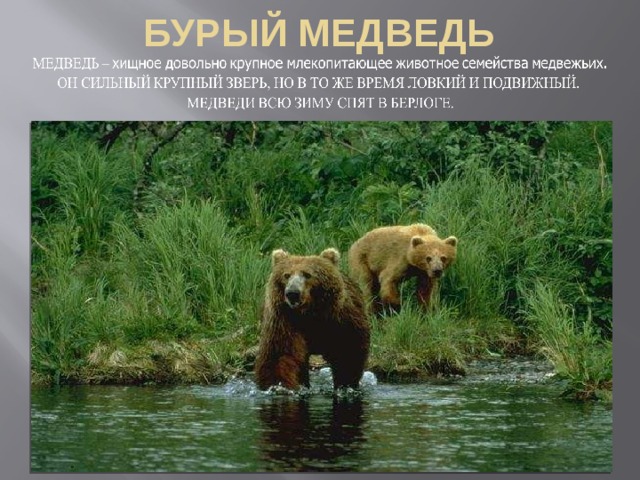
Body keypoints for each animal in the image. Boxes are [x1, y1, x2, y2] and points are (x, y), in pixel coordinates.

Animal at [254, 247, 370, 391]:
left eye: (307, 274)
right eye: (286, 275)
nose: (292, 293)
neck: (310, 316)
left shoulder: (340, 320)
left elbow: (347, 352)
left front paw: (345, 384)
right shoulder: (284, 321)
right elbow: (280, 356)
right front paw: (279, 386)